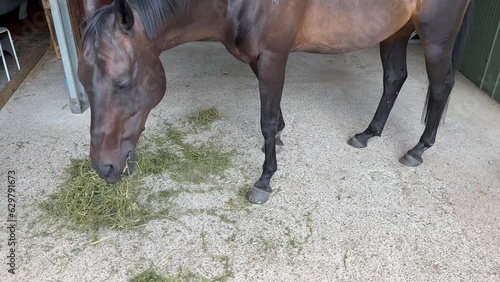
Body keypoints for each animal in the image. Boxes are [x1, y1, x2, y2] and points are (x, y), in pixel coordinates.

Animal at [77, 0, 472, 203]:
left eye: (123, 83)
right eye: (83, 80)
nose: (104, 168)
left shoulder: (273, 56)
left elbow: (265, 118)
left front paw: (264, 180)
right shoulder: (257, 58)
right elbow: (273, 115)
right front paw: (281, 136)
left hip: (436, 37)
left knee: (441, 87)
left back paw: (418, 149)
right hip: (396, 31)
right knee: (394, 79)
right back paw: (368, 134)